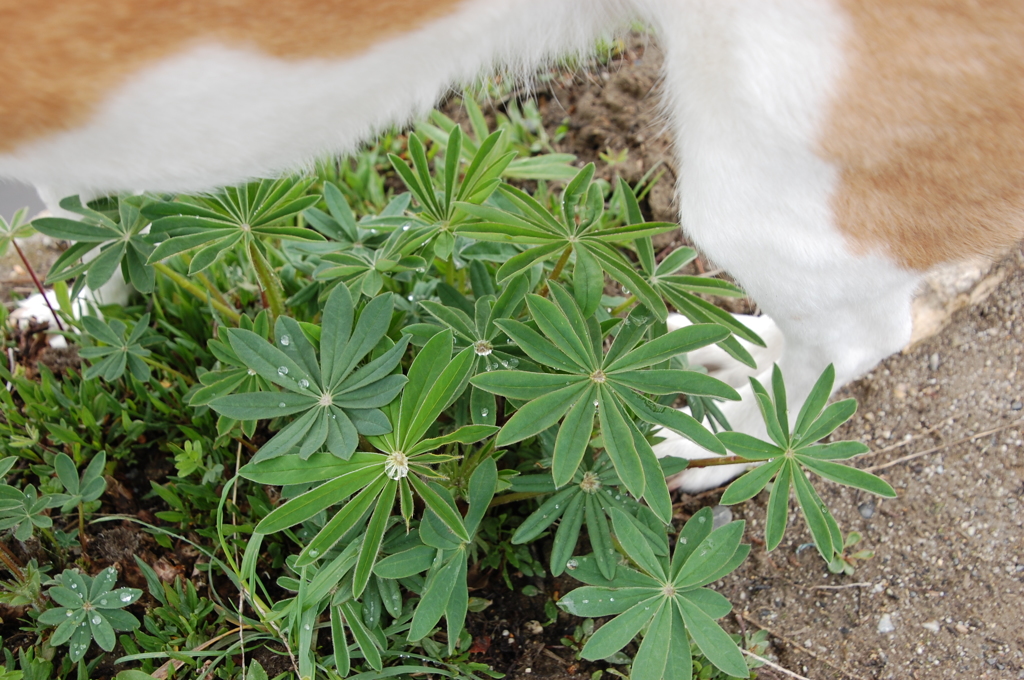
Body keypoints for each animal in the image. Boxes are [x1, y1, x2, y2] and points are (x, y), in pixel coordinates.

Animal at [4, 0, 1019, 489]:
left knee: (858, 334)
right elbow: (91, 212)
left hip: (790, 139)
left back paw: (729, 439)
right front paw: (80, 312)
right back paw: (724, 360)